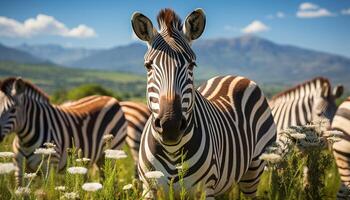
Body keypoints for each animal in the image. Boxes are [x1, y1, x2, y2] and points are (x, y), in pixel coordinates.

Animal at [0, 77, 129, 184]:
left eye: (13, 110)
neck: (25, 138)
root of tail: (111, 98)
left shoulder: (49, 167)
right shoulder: (19, 170)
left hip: (112, 151)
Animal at [131, 8, 276, 198]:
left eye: (192, 65)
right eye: (148, 66)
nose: (170, 126)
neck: (172, 152)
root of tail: (235, 76)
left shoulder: (205, 190)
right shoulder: (149, 188)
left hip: (255, 168)